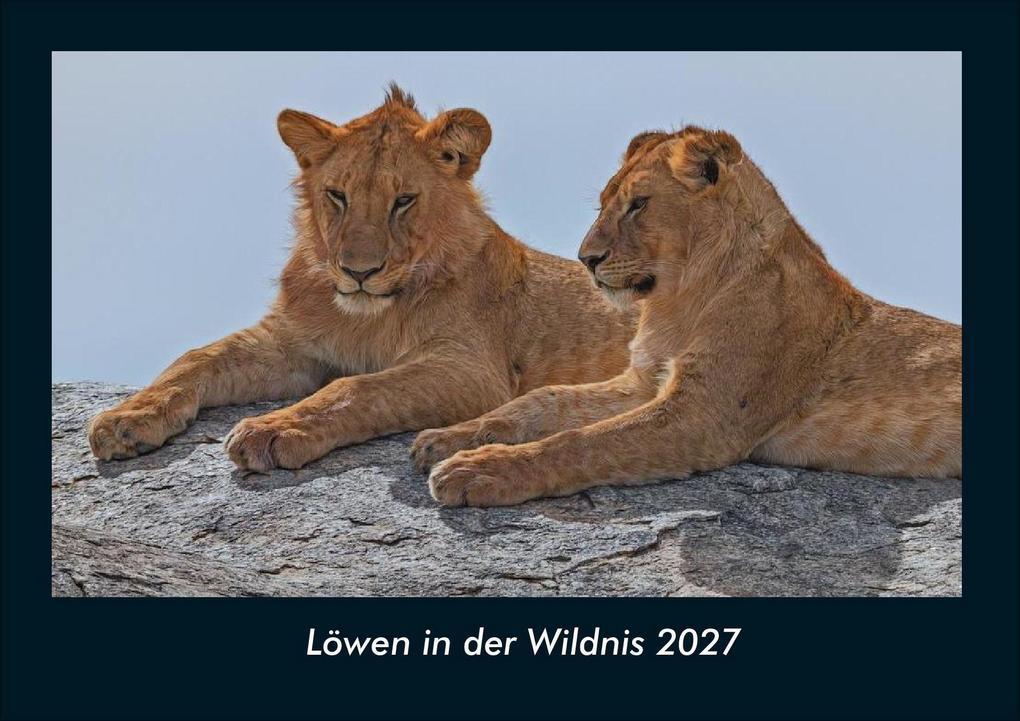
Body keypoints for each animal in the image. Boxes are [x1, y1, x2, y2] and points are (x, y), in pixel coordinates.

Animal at [88, 85, 637, 470]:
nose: (359, 272)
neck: (365, 315)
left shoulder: (473, 371)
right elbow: (196, 357)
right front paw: (127, 418)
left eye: (403, 201)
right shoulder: (291, 344)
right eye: (338, 195)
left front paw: (272, 429)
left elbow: (356, 388)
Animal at [421, 126, 962, 506]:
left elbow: (581, 442)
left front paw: (479, 471)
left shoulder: (704, 415)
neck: (678, 300)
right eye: (602, 204)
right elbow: (542, 401)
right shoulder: (643, 382)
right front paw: (447, 438)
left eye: (639, 204)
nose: (586, 258)